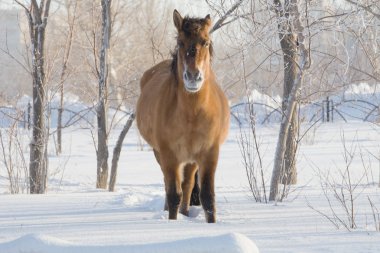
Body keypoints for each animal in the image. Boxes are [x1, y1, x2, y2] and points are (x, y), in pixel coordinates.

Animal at [137, 9, 230, 223]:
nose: (193, 77)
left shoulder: (209, 154)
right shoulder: (169, 155)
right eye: (180, 42)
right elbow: (173, 195)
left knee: (187, 185)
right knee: (171, 184)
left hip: (192, 159)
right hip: (161, 154)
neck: (192, 114)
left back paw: (186, 212)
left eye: (206, 42)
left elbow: (208, 197)